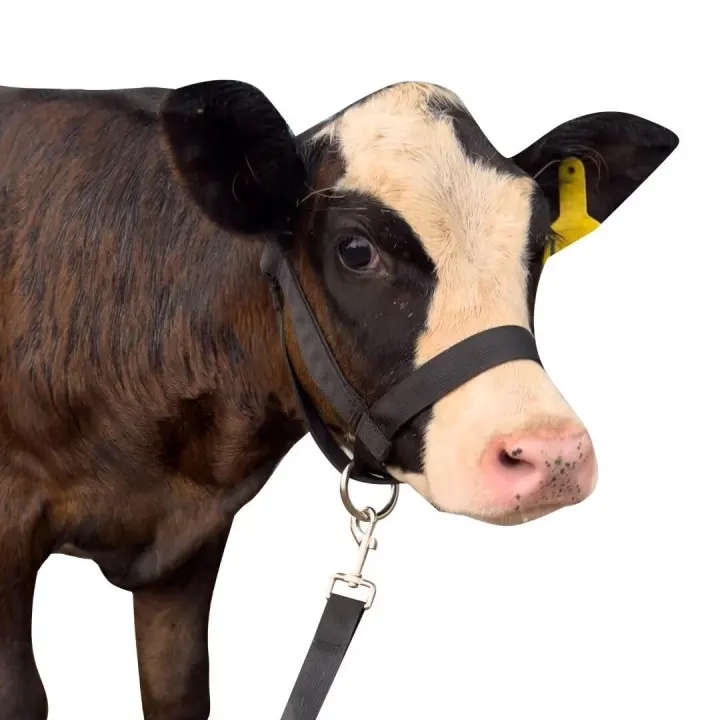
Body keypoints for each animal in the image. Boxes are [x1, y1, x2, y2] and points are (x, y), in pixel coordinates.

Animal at [0, 80, 678, 719]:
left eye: (537, 247)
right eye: (356, 250)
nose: (551, 454)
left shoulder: (189, 545)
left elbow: (177, 689)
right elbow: (24, 695)